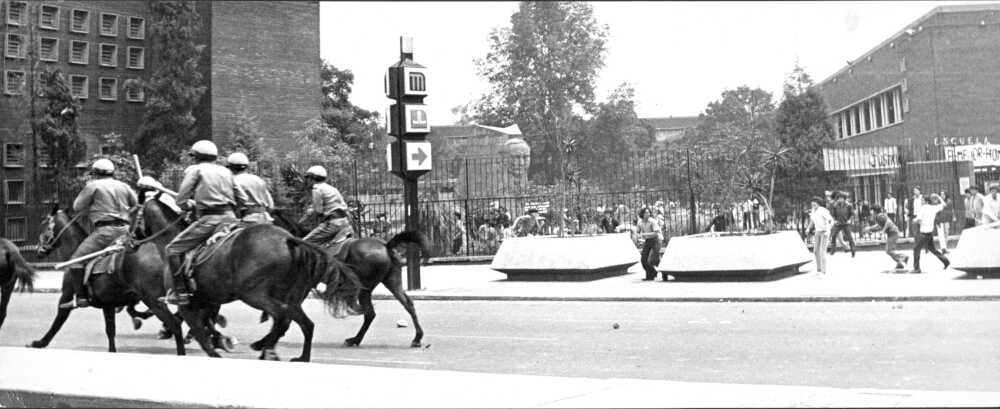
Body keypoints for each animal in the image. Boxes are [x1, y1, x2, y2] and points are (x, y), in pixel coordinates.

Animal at [31, 206, 187, 354]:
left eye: (44, 225)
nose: (38, 250)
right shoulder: (109, 304)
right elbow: (111, 331)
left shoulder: (66, 296)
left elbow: (59, 319)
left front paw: (39, 343)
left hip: (153, 300)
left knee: (175, 324)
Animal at [140, 197, 362, 361]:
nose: (133, 244)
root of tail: (288, 239)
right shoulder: (205, 301)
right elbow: (205, 326)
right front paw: (221, 339)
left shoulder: (189, 305)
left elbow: (200, 333)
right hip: (290, 300)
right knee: (304, 324)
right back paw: (296, 356)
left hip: (254, 295)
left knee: (281, 317)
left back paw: (266, 350)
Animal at [272, 209, 430, 348]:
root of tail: (385, 245)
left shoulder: (305, 282)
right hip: (392, 281)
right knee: (408, 304)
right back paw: (417, 338)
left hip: (365, 288)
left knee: (370, 313)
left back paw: (354, 340)